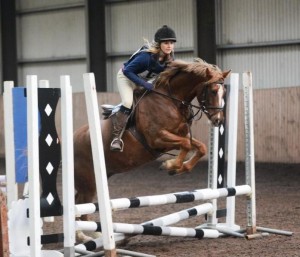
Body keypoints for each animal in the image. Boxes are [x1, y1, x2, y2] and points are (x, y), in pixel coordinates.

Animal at [72, 57, 230, 240]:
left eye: (224, 92)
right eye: (213, 91)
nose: (218, 120)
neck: (170, 99)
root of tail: (72, 139)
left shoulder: (180, 135)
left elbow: (200, 147)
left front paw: (179, 168)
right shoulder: (157, 138)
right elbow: (185, 144)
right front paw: (170, 166)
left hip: (98, 177)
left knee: (80, 202)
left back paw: (88, 235)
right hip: (89, 181)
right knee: (81, 203)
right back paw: (87, 236)